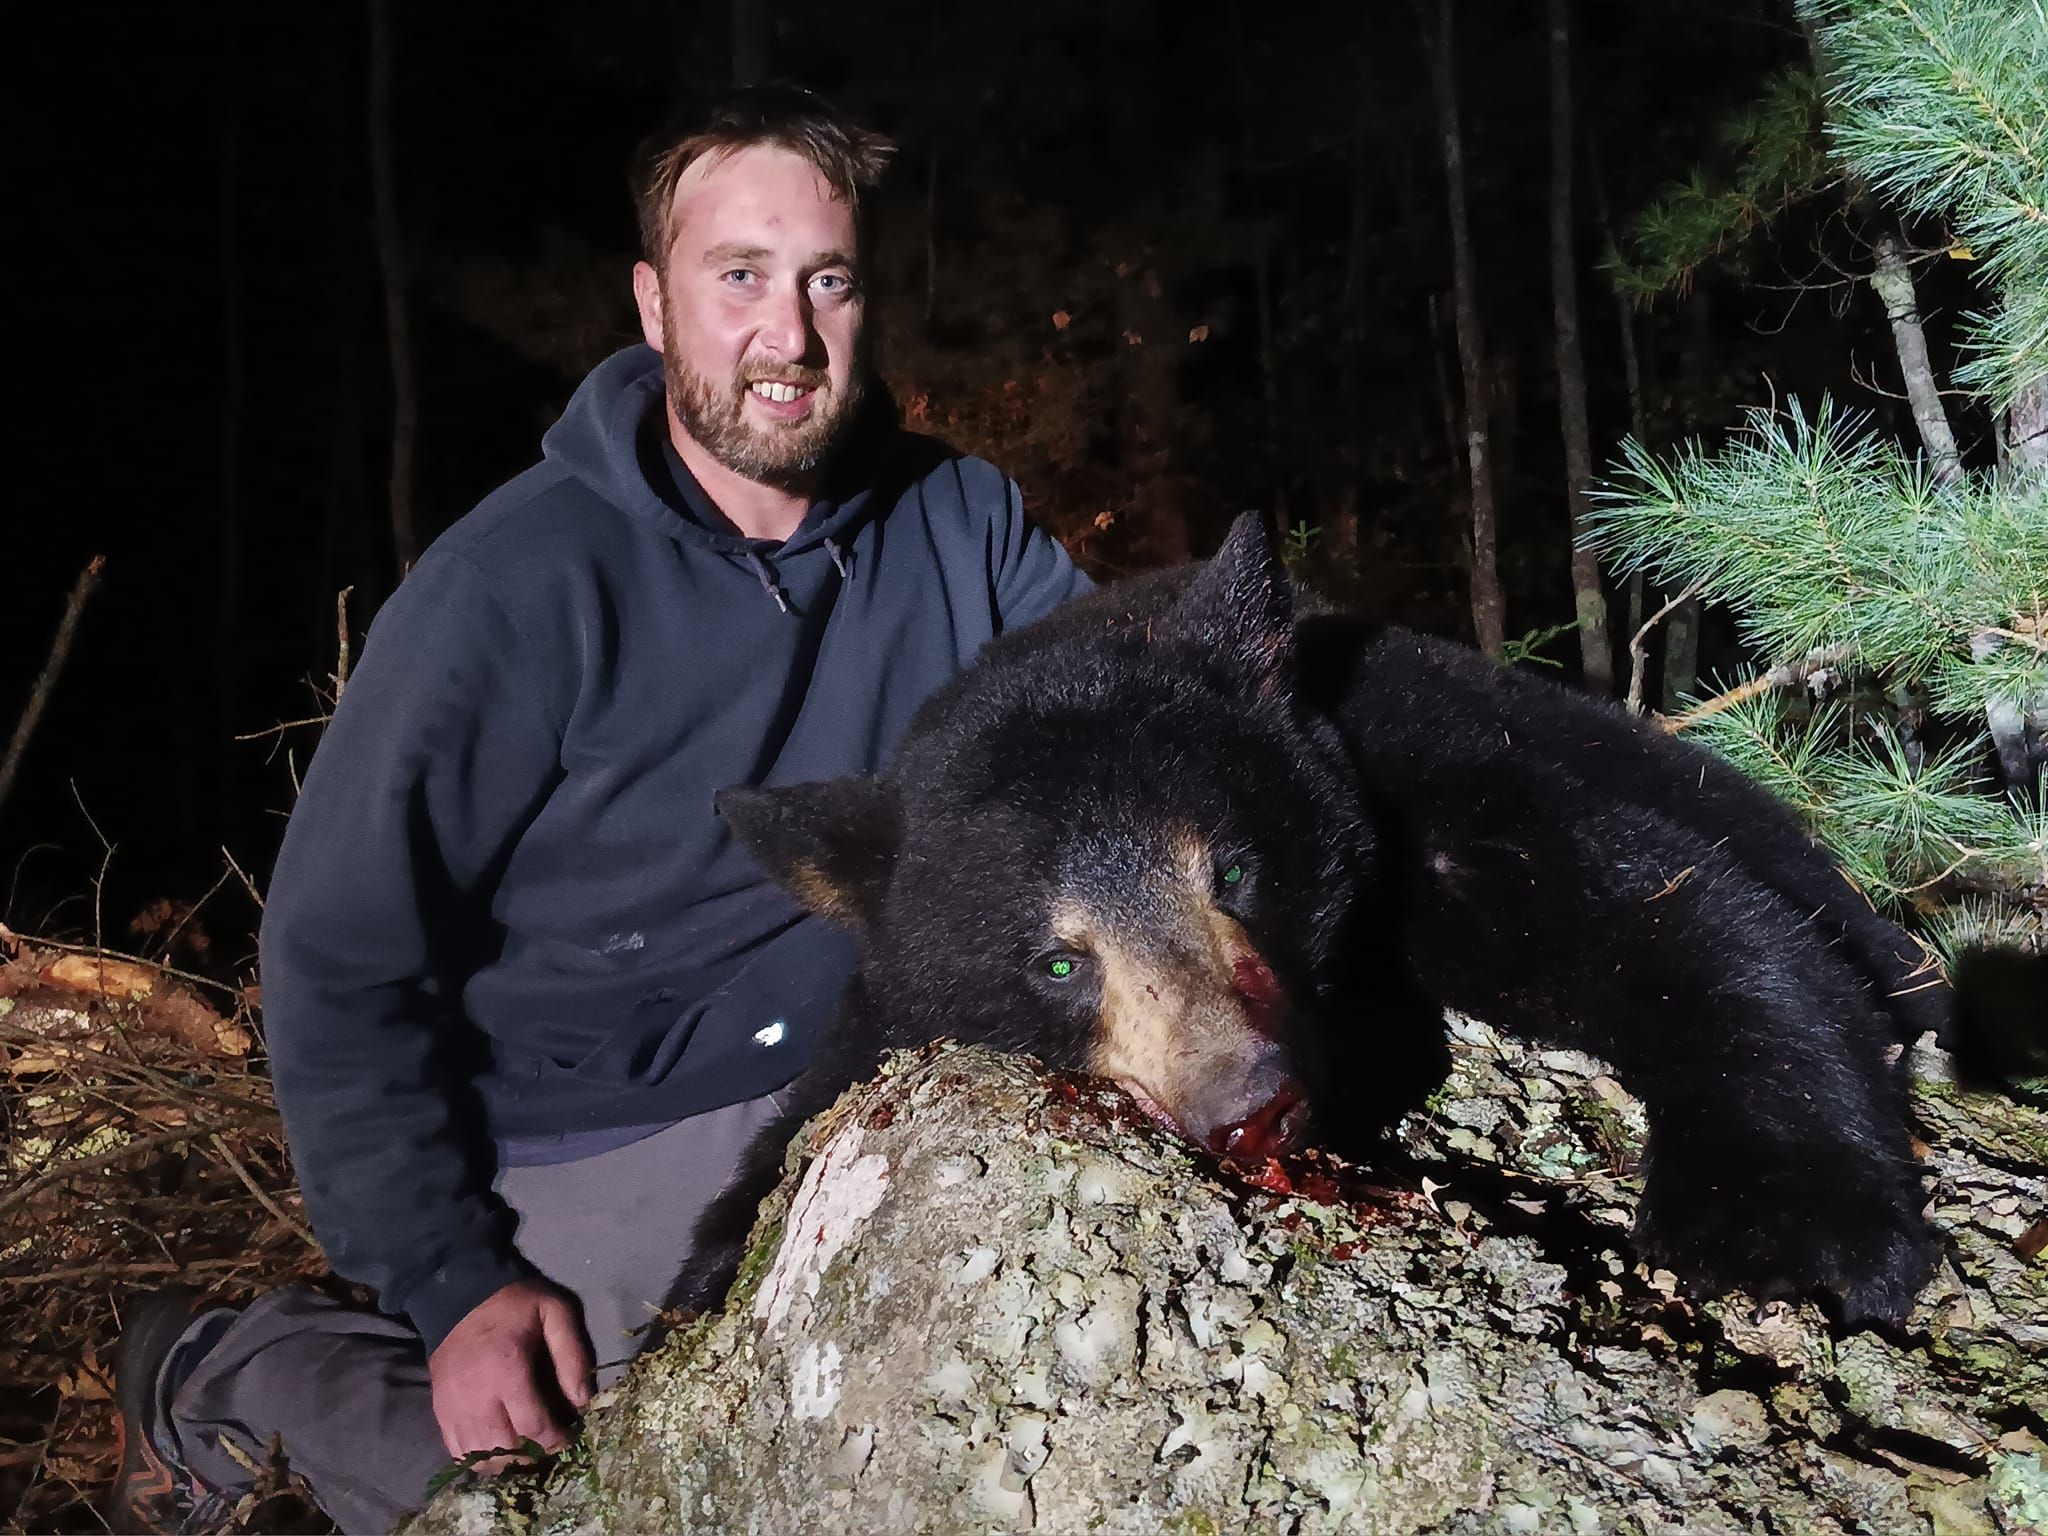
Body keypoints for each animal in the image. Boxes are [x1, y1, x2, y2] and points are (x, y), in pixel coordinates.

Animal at [680, 512, 1942, 1326]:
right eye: (1054, 963)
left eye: (1233, 871)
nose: (1249, 1106)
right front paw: (706, 1269)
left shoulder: (1405, 782)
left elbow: (1665, 908)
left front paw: (1783, 1225)